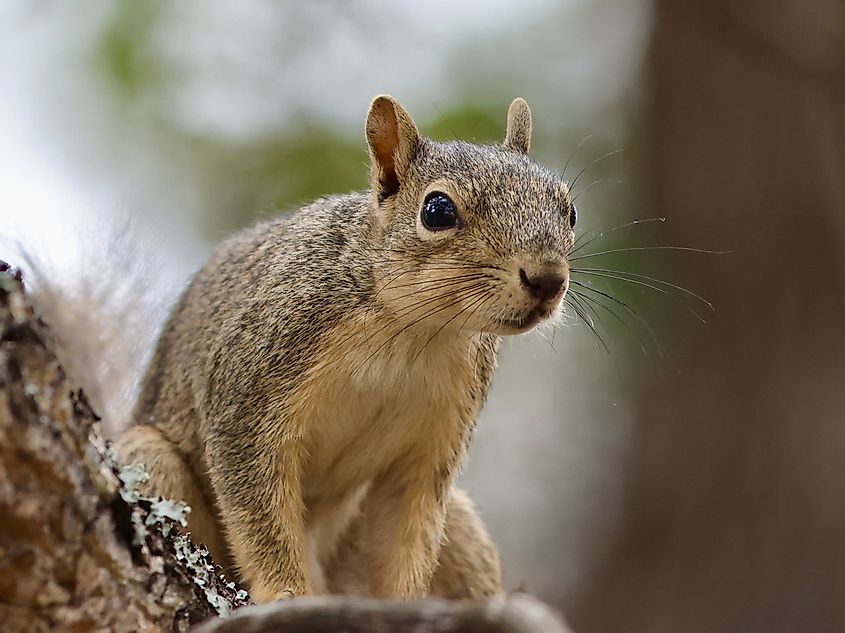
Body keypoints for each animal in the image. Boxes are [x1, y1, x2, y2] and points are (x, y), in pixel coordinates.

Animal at [115, 95, 576, 602]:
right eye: (437, 211)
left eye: (570, 211)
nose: (548, 279)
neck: (412, 330)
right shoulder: (256, 374)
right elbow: (256, 502)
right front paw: (286, 594)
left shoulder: (438, 432)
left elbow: (407, 530)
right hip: (150, 460)